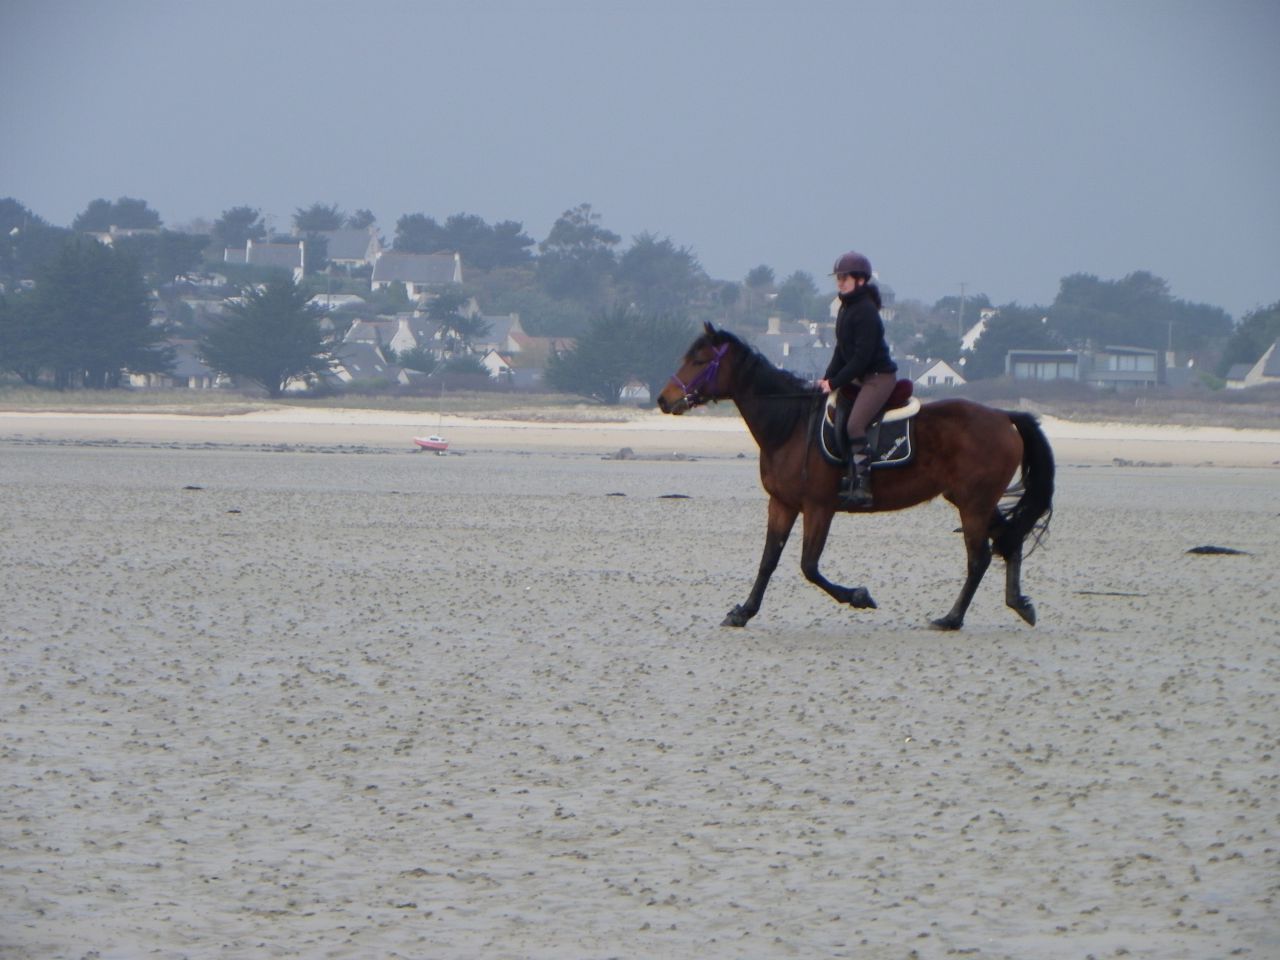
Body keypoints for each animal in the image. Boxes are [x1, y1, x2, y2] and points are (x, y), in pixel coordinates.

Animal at [656, 323, 1054, 630]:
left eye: (700, 361)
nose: (663, 400)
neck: (790, 426)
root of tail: (1003, 416)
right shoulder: (782, 504)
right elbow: (768, 561)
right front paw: (743, 612)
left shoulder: (818, 507)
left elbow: (809, 566)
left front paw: (859, 597)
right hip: (974, 500)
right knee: (1010, 540)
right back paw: (1018, 603)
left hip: (973, 504)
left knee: (979, 558)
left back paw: (952, 618)